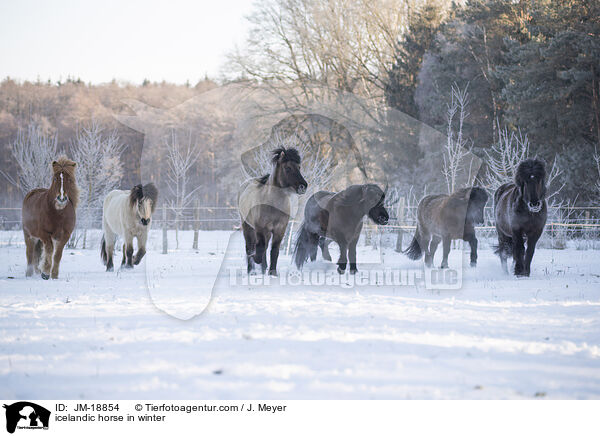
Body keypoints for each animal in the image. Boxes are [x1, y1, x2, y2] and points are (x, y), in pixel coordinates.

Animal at [238, 146, 308, 276]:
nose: (303, 186)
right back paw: (251, 271)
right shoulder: (260, 228)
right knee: (250, 247)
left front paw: (272, 273)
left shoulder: (279, 230)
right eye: (288, 168)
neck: (273, 205)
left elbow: (274, 251)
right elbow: (259, 248)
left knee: (264, 248)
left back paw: (263, 269)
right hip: (247, 226)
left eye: (299, 167)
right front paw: (256, 259)